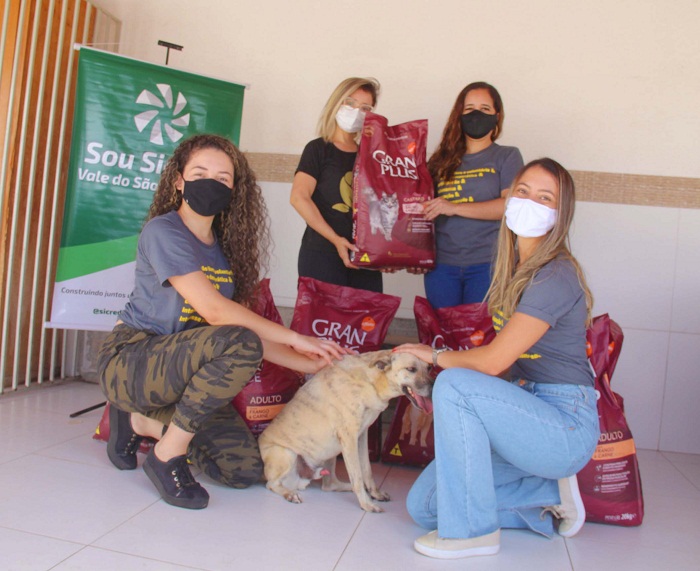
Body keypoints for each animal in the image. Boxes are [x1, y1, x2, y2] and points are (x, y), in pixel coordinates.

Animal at [258, 350, 432, 512]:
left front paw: (374, 494)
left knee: (329, 486)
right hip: (287, 454)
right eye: (411, 369)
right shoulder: (350, 439)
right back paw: (289, 494)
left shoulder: (362, 435)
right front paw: (367, 504)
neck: (371, 380)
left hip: (330, 451)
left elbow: (367, 471)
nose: (433, 388)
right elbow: (358, 476)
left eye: (429, 367)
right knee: (271, 484)